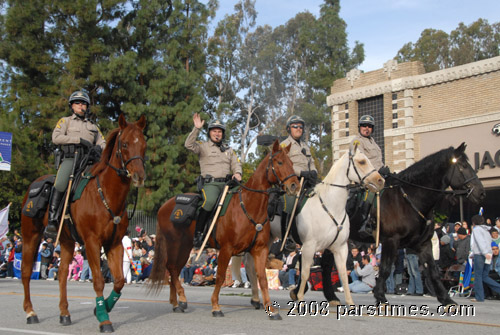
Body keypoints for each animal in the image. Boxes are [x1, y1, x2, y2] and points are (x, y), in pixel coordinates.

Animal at [21, 115, 146, 334]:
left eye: (144, 145)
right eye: (124, 144)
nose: (139, 176)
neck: (105, 195)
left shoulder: (114, 243)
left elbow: (119, 281)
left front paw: (102, 308)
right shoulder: (92, 242)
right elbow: (98, 280)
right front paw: (104, 319)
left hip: (67, 241)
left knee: (62, 273)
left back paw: (64, 313)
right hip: (31, 236)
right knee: (27, 272)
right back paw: (31, 312)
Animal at [147, 140, 296, 320]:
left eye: (292, 163)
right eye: (279, 162)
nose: (294, 185)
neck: (248, 207)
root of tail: (163, 207)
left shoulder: (260, 250)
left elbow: (262, 278)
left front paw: (271, 310)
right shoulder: (226, 250)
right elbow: (219, 277)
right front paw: (215, 306)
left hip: (185, 248)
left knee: (174, 269)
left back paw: (176, 303)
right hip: (175, 244)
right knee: (171, 268)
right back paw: (181, 299)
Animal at [241, 146, 382, 308]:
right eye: (362, 161)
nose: (380, 180)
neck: (331, 206)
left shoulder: (340, 248)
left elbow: (342, 274)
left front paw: (349, 302)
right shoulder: (309, 246)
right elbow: (305, 273)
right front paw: (300, 298)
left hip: (266, 239)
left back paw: (255, 299)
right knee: (251, 265)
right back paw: (256, 299)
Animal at [304, 143, 484, 308]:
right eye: (463, 166)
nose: (480, 192)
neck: (407, 198)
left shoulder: (423, 244)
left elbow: (432, 271)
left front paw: (446, 300)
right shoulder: (391, 241)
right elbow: (385, 269)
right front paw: (380, 297)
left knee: (327, 264)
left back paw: (331, 296)